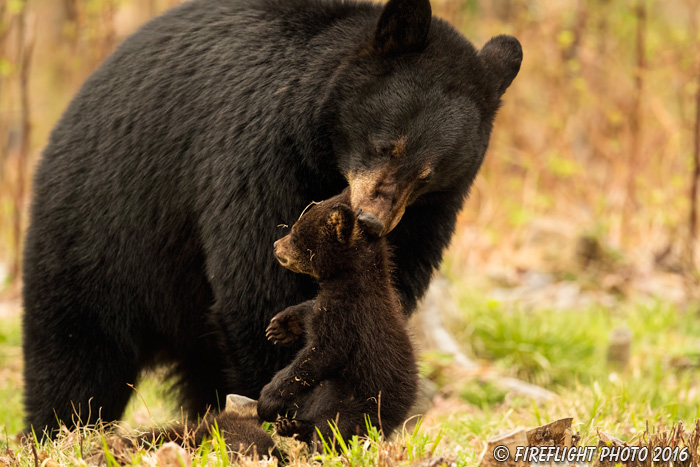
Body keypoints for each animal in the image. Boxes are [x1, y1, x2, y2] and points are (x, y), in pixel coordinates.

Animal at [260, 190, 418, 446]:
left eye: (295, 234)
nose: (275, 245)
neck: (349, 277)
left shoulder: (349, 316)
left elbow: (320, 355)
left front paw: (267, 399)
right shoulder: (331, 303)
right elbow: (312, 310)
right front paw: (282, 325)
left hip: (359, 406)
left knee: (332, 427)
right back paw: (292, 426)